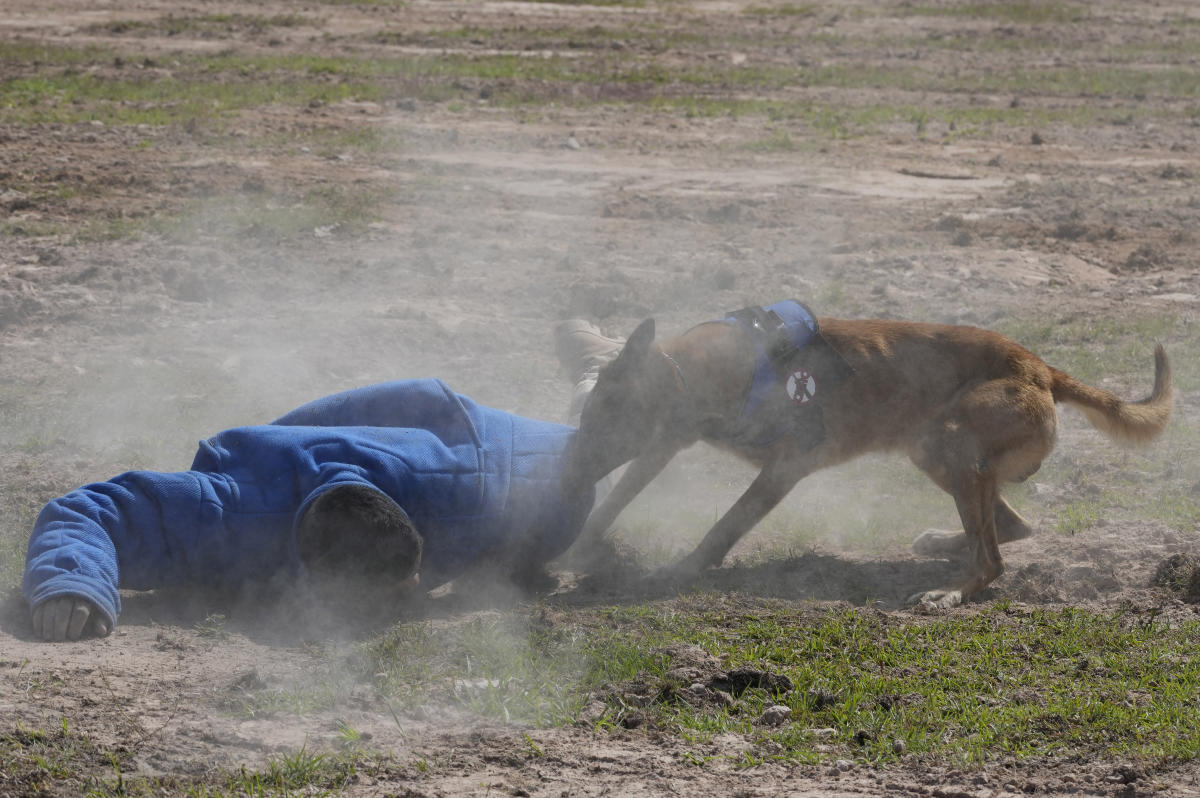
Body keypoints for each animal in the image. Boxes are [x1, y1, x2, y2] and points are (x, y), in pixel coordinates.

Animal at [571, 307, 1171, 607]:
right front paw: (580, 547)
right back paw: (944, 544)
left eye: (604, 413)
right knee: (1012, 527)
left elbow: (724, 527)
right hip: (936, 453)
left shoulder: (785, 468)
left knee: (994, 559)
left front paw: (679, 570)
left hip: (951, 443)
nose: (570, 467)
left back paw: (951, 589)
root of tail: (1041, 367)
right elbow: (616, 500)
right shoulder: (662, 444)